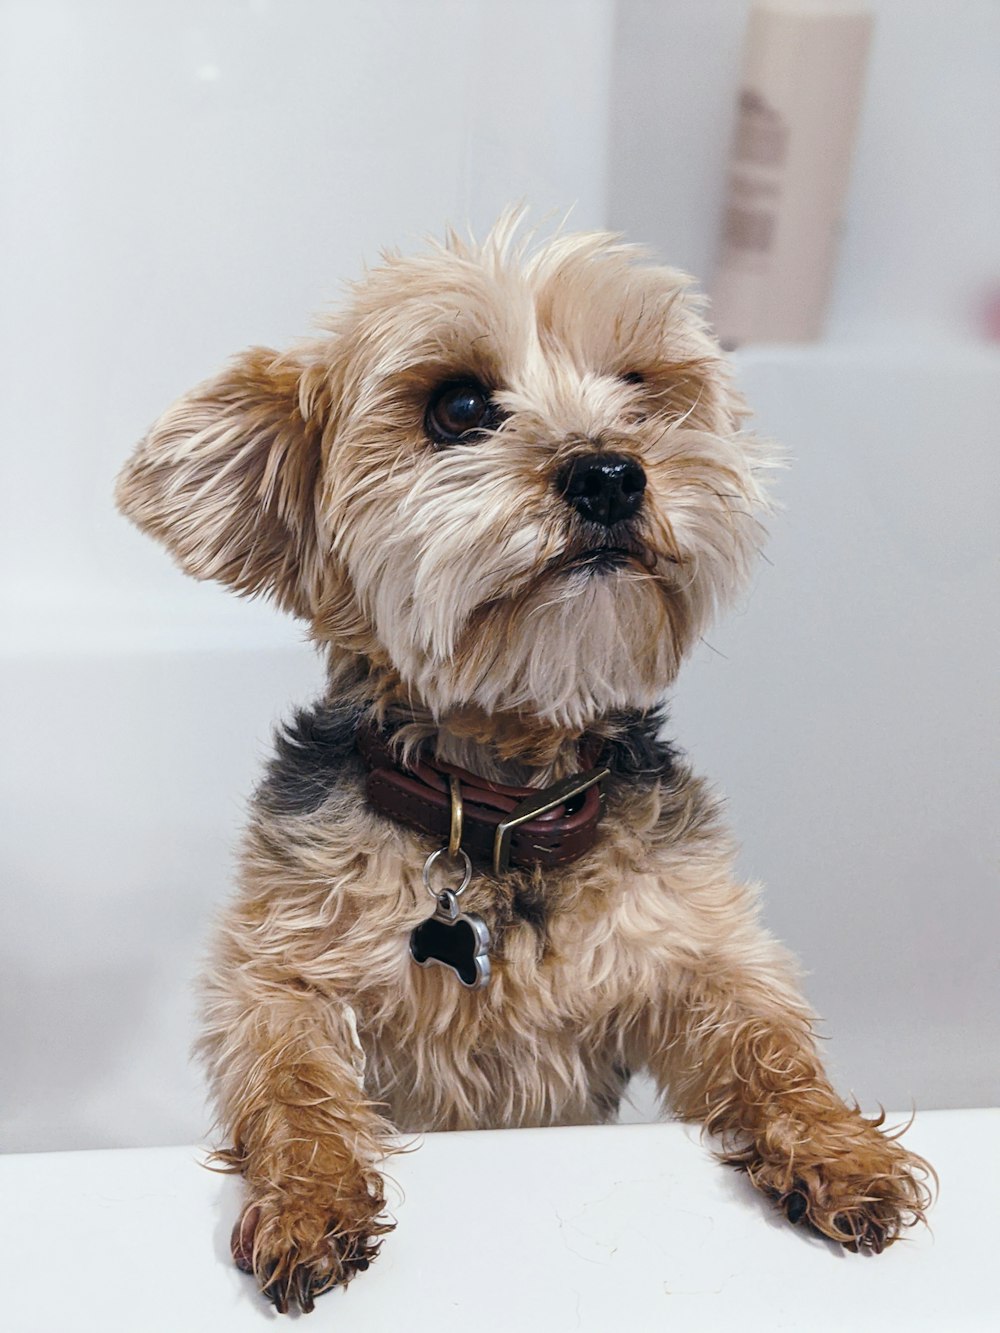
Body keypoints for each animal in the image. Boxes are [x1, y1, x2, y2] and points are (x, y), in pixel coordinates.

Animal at [115, 215, 933, 1311]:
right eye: (458, 407)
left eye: (639, 388)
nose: (611, 473)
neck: (506, 803)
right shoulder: (278, 968)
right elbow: (291, 1078)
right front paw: (310, 1199)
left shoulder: (693, 946)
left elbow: (767, 1037)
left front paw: (839, 1148)